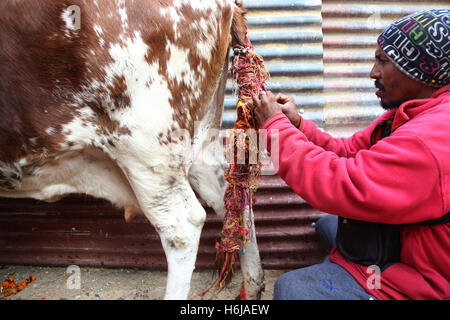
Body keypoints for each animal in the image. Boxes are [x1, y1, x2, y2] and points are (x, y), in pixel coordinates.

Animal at [0, 0, 266, 300]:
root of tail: (227, 5)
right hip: (200, 141)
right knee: (233, 198)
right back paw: (252, 287)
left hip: (147, 148)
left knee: (182, 226)